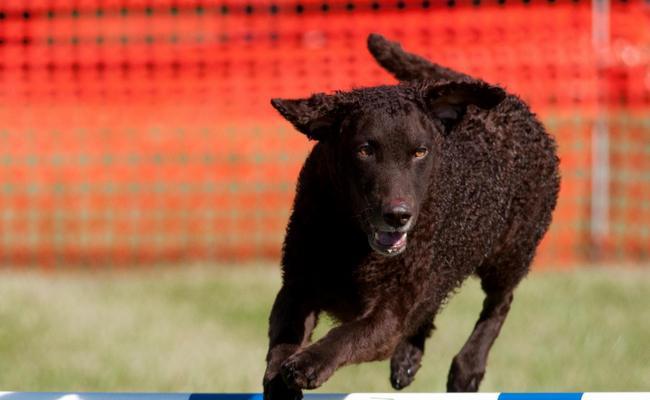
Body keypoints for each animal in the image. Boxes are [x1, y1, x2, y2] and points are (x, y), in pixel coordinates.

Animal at [260, 33, 560, 396]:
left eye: (420, 152)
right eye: (365, 150)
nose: (398, 215)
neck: (351, 240)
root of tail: (514, 103)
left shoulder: (390, 312)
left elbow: (346, 335)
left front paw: (309, 363)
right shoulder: (297, 286)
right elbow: (282, 344)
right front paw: (279, 384)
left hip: (512, 249)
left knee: (499, 304)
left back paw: (467, 368)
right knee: (432, 304)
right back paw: (408, 359)